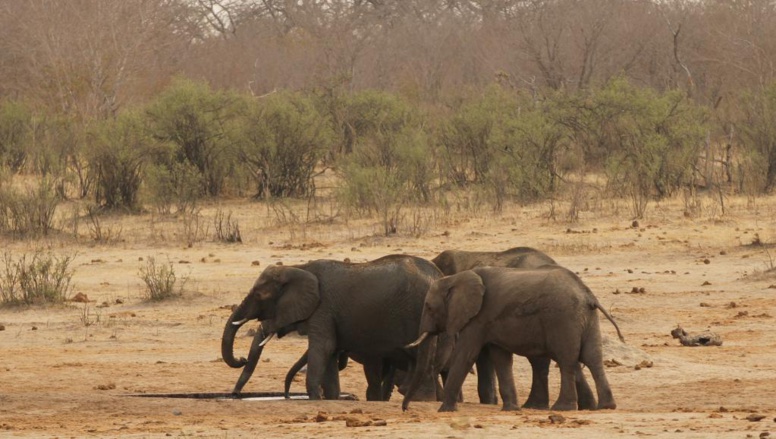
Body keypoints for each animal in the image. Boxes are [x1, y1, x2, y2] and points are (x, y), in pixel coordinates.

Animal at [221, 254, 444, 401]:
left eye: (259, 295)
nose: (241, 358)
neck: (298, 267)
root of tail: (438, 275)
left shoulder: (323, 308)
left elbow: (324, 348)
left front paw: (314, 399)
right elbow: (330, 354)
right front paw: (329, 399)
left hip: (417, 313)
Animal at [402, 265, 623, 412]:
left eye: (429, 307)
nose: (405, 409)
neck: (455, 278)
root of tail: (588, 296)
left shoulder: (478, 318)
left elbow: (465, 356)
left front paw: (445, 410)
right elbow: (501, 359)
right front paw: (511, 409)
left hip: (563, 319)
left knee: (567, 360)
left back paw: (562, 408)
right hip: (587, 319)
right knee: (592, 358)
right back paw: (606, 406)